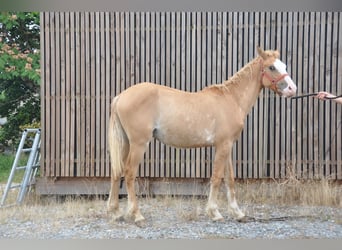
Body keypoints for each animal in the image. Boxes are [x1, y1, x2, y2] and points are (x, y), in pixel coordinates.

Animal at [107, 47, 296, 223]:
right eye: (271, 67)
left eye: (284, 65)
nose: (292, 89)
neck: (231, 99)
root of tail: (120, 97)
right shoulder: (222, 145)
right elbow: (216, 177)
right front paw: (215, 213)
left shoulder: (228, 146)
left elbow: (230, 178)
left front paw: (238, 213)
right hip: (139, 144)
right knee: (129, 173)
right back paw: (136, 215)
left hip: (126, 143)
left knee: (116, 171)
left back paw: (116, 212)